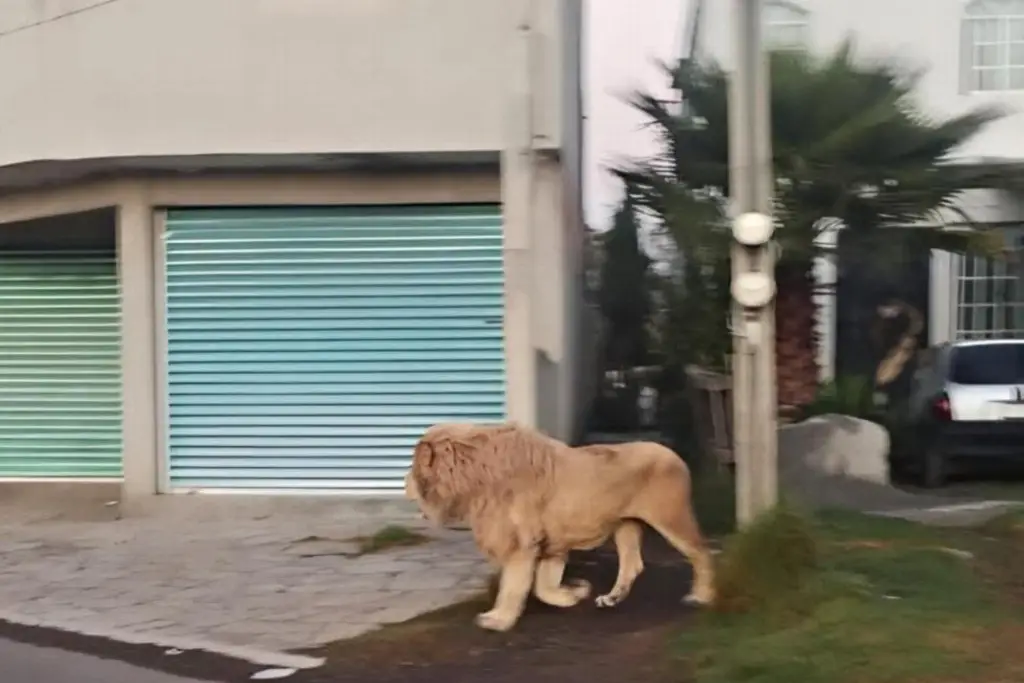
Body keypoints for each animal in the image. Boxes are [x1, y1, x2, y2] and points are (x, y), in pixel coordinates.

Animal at [403, 423, 716, 634]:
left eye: (412, 465)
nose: (403, 484)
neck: (474, 477)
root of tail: (676, 456)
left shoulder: (521, 544)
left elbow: (512, 586)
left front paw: (498, 619)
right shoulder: (551, 544)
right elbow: (543, 587)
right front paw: (575, 593)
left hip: (671, 518)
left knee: (701, 553)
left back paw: (701, 596)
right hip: (625, 525)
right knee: (632, 565)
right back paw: (611, 598)